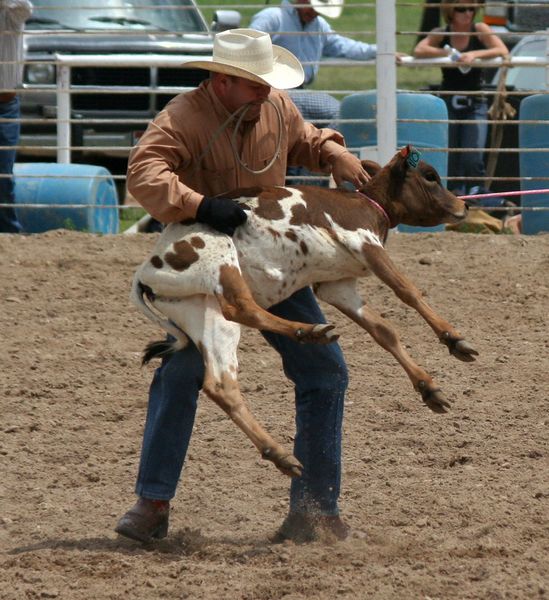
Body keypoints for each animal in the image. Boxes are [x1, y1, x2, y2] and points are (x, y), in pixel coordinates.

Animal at [131, 146, 478, 478]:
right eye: (430, 176)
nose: (464, 207)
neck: (368, 203)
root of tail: (145, 273)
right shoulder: (363, 242)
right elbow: (408, 291)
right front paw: (454, 339)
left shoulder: (338, 286)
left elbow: (384, 330)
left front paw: (429, 388)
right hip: (220, 260)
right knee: (241, 306)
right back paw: (308, 331)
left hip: (204, 313)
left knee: (221, 383)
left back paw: (280, 454)